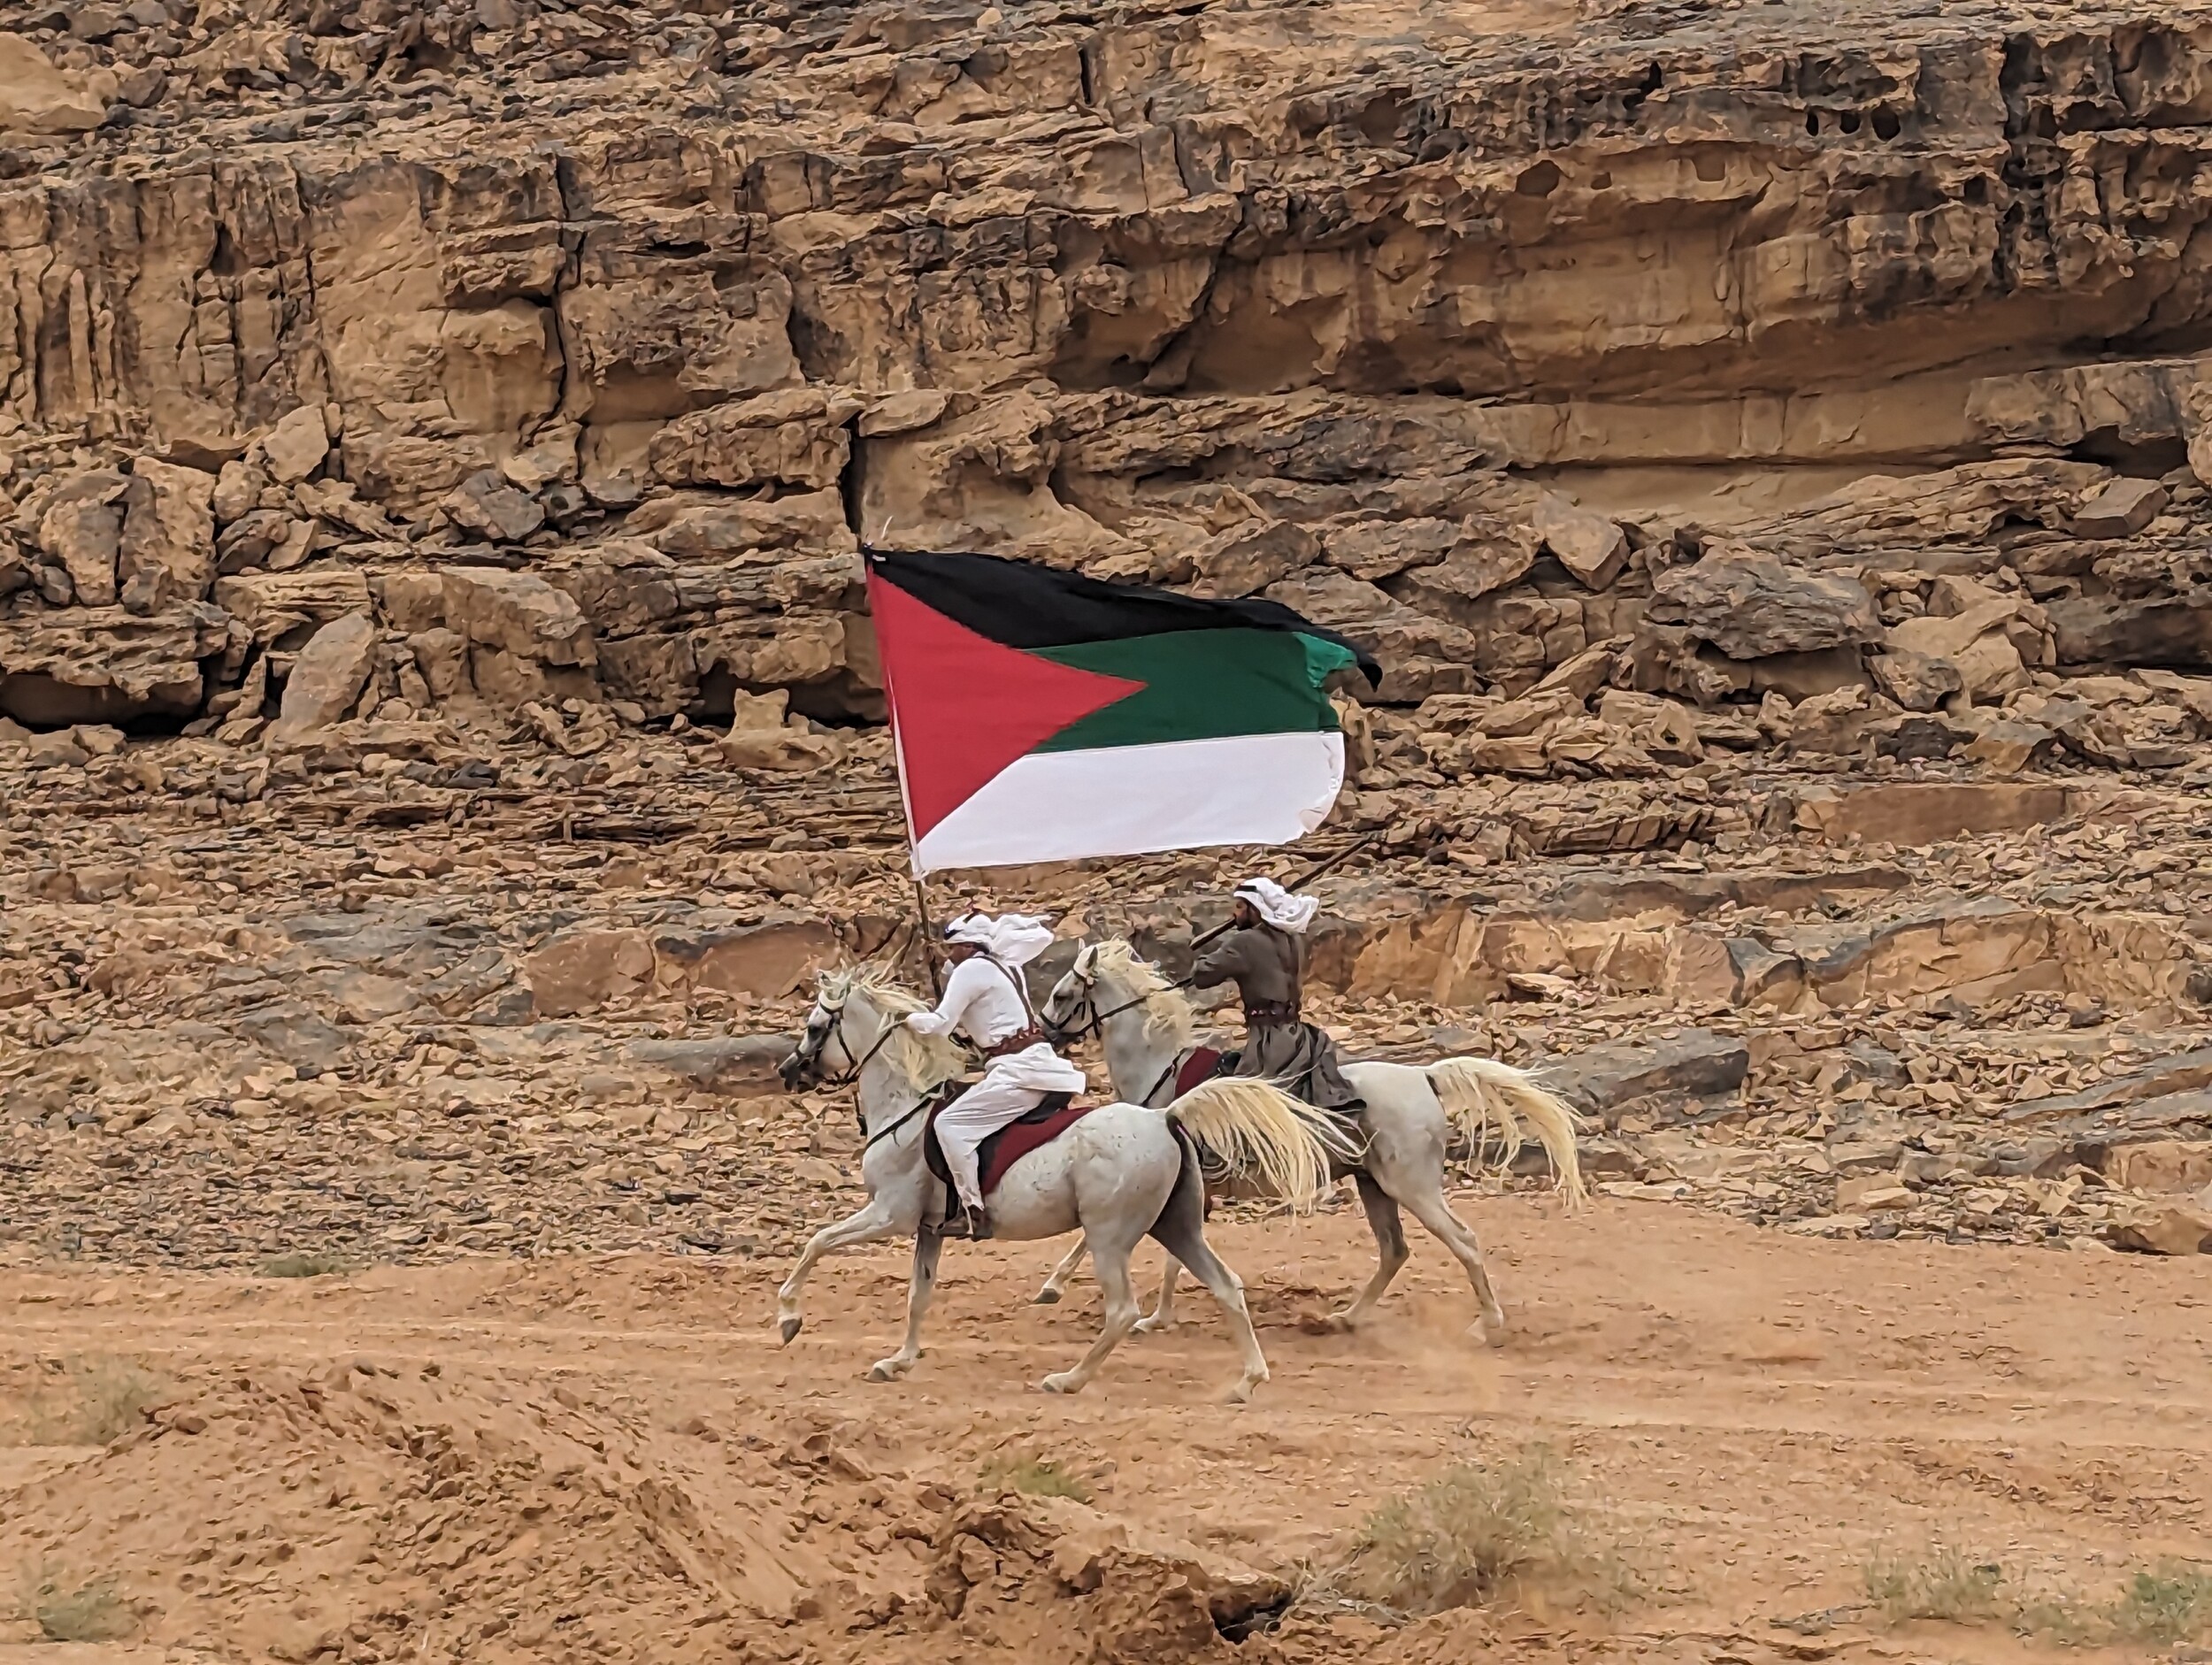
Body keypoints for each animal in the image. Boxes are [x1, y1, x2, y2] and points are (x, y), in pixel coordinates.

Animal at [770, 968, 1336, 1397]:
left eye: (816, 1027)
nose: (786, 1071)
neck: (906, 1109)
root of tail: (1165, 1117)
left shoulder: (890, 1216)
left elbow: (817, 1242)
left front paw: (788, 1319)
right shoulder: (928, 1231)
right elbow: (917, 1296)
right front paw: (898, 1361)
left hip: (1111, 1238)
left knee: (1122, 1311)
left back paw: (1068, 1379)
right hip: (1177, 1227)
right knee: (1225, 1285)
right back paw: (1247, 1381)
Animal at [1035, 941, 1593, 1344]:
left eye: (1061, 995)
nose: (1044, 1036)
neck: (1163, 1073)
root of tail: (1425, 1077)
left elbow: (1106, 1242)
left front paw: (1058, 1288)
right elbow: (1175, 1255)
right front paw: (1158, 1315)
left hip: (1412, 1187)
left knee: (1464, 1241)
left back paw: (1486, 1325)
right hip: (1374, 1186)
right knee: (1394, 1251)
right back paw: (1344, 1318)